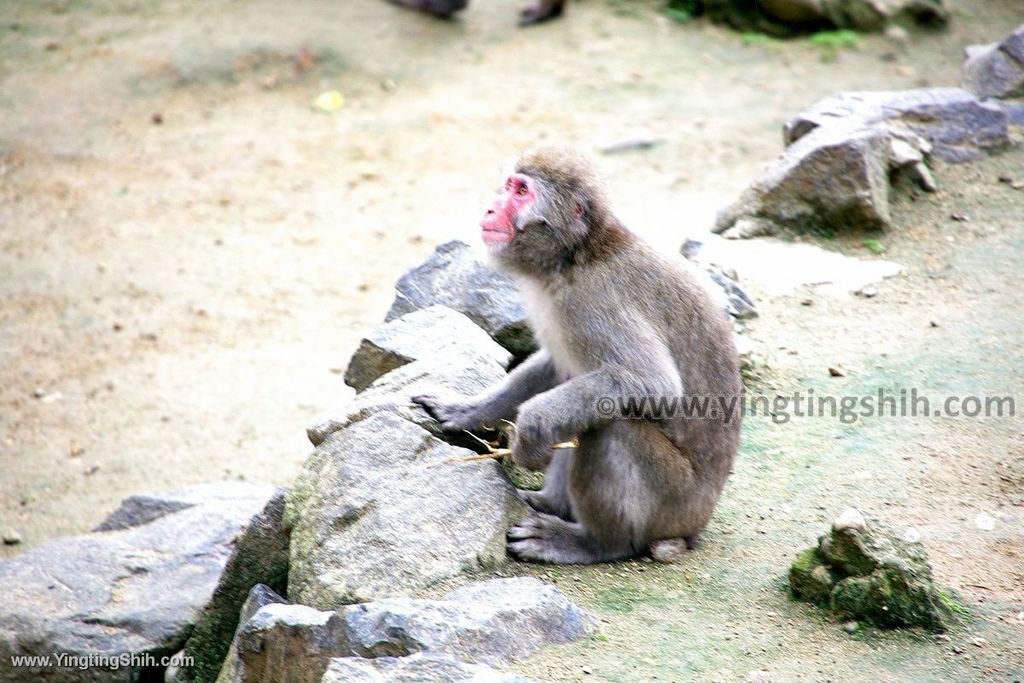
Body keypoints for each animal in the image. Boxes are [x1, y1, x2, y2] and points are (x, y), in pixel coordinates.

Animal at [411, 147, 741, 565]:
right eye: (509, 185)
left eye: (521, 191)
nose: (490, 208)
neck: (573, 257)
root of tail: (698, 524)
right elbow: (556, 367)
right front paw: (467, 411)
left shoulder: (593, 302)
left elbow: (653, 383)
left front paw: (529, 431)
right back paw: (551, 504)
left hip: (673, 503)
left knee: (613, 425)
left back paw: (591, 542)